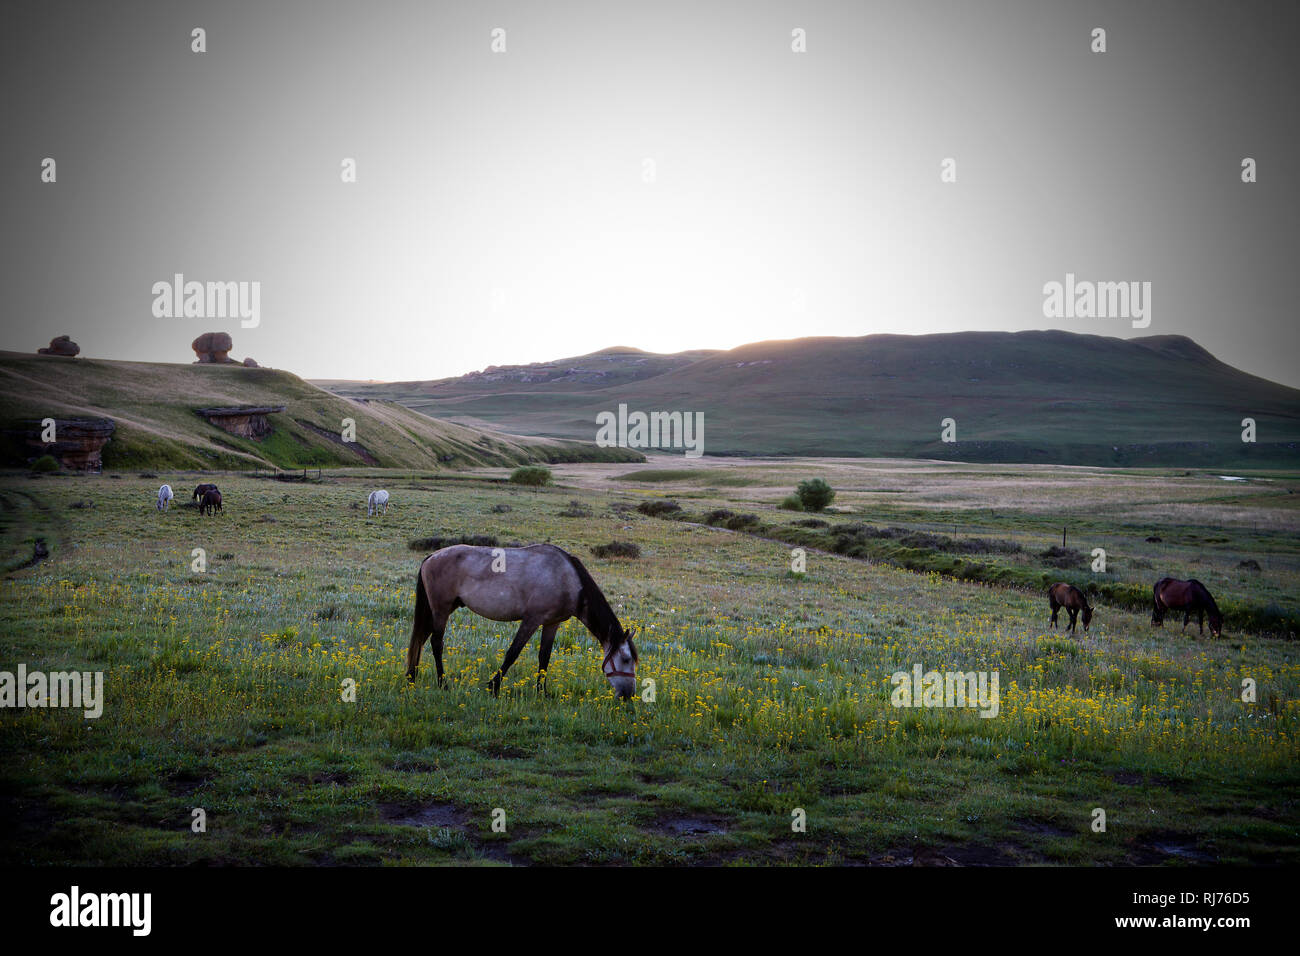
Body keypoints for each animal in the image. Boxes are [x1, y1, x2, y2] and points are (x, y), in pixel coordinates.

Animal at [400, 541, 634, 697]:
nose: (629, 695)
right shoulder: (531, 620)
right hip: (441, 610)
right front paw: (493, 687)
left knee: (421, 639)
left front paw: (542, 692)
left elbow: (544, 657)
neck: (568, 579)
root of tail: (432, 556)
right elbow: (513, 653)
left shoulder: (552, 623)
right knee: (436, 643)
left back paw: (411, 678)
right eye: (626, 659)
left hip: (442, 609)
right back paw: (443, 684)